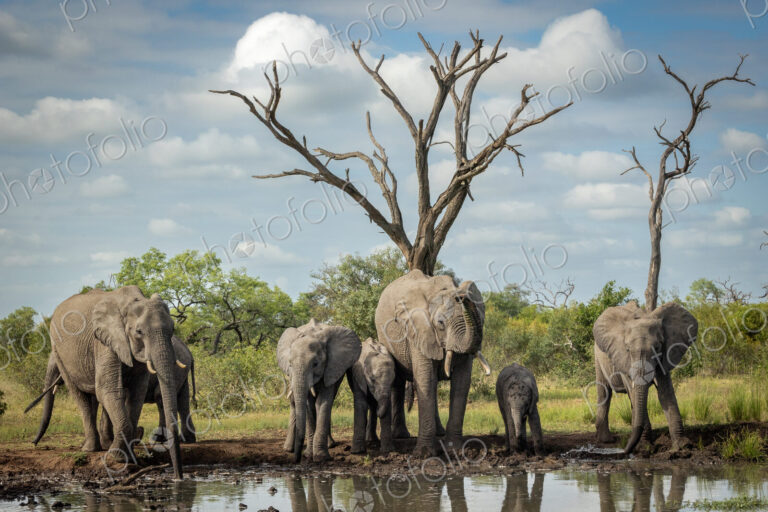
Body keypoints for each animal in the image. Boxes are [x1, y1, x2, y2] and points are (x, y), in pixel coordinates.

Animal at [28, 286, 184, 478]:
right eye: (139, 332)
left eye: (173, 329)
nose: (178, 477)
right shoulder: (103, 342)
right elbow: (107, 389)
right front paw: (118, 457)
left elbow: (136, 393)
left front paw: (127, 455)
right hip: (60, 352)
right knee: (81, 397)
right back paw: (90, 449)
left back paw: (101, 445)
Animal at [277, 319, 361, 462]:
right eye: (290, 364)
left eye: (315, 364)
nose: (297, 460)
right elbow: (309, 405)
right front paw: (308, 455)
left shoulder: (331, 366)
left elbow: (323, 403)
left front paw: (320, 457)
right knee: (293, 402)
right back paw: (288, 449)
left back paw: (330, 445)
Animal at [375, 269, 491, 456]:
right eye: (441, 323)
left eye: (481, 318)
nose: (461, 296)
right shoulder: (418, 330)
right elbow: (425, 380)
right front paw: (424, 454)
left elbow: (462, 383)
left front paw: (455, 449)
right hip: (387, 338)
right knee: (398, 381)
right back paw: (401, 436)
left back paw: (439, 433)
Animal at [593, 301, 697, 454]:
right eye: (627, 349)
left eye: (658, 347)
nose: (624, 451)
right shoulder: (623, 358)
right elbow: (634, 392)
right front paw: (645, 447)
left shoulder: (664, 356)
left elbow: (665, 393)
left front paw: (683, 446)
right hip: (598, 357)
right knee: (604, 392)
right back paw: (607, 440)